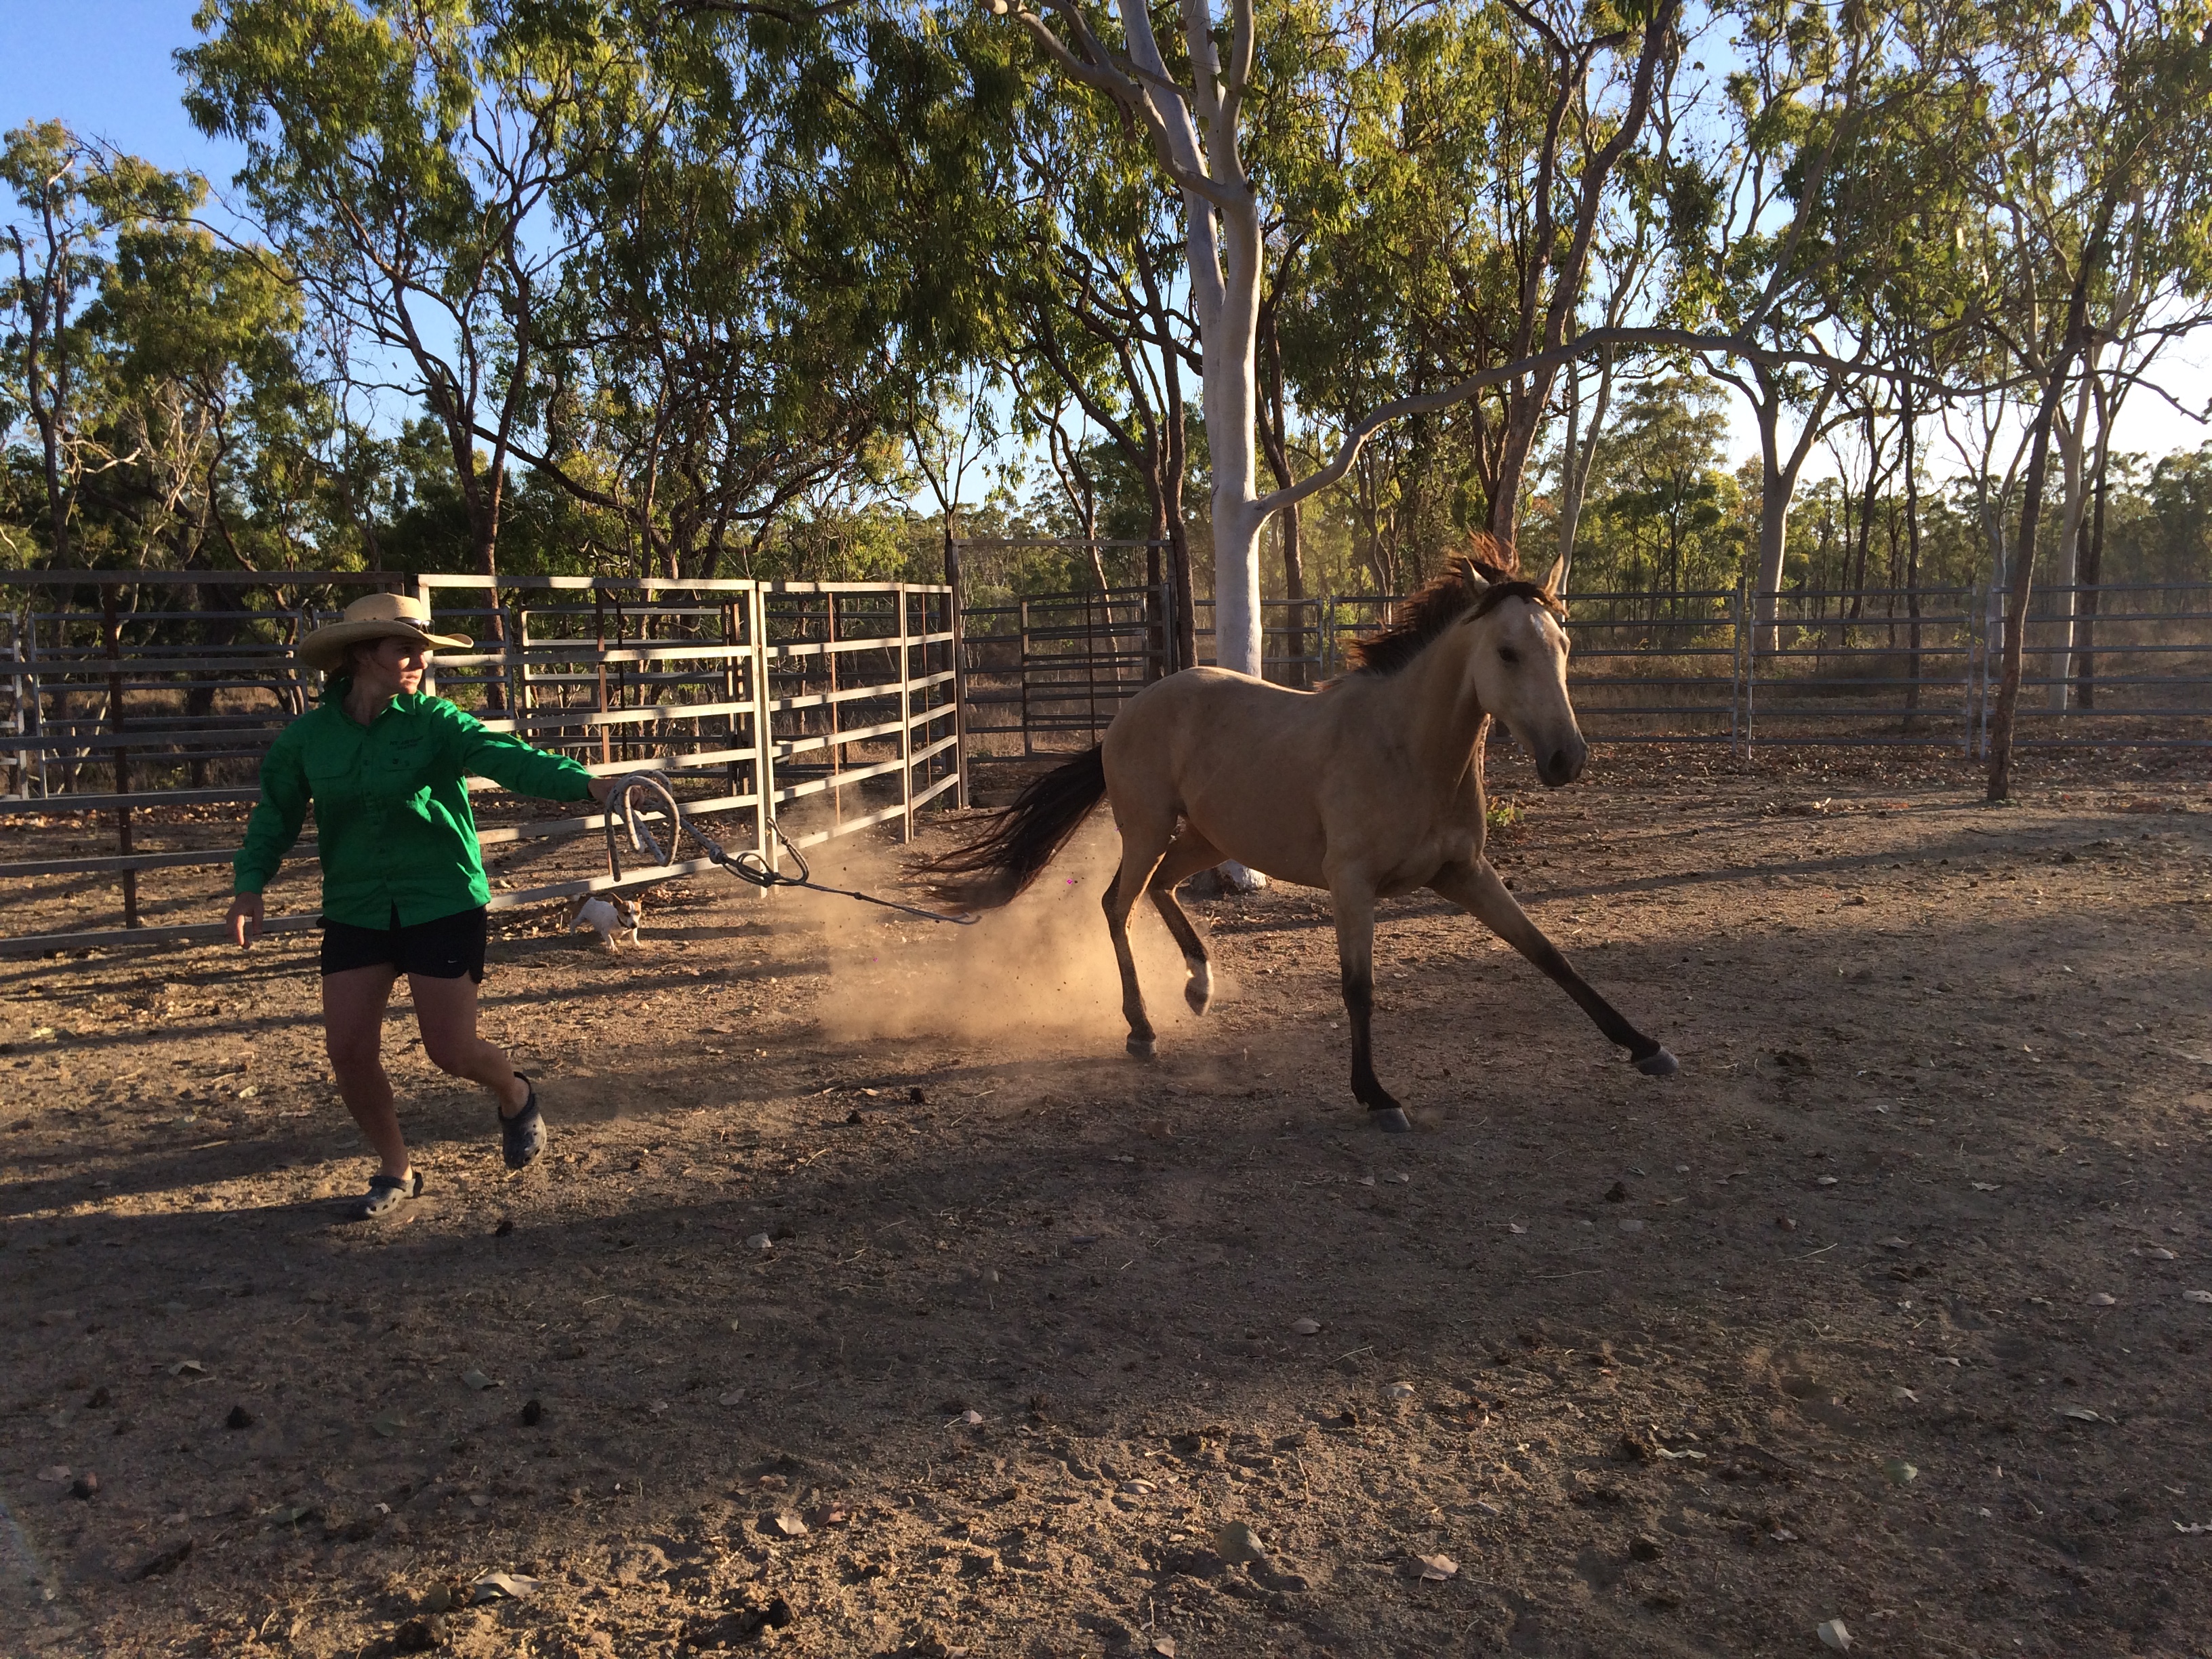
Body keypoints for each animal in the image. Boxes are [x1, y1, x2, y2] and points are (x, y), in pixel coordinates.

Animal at [929, 544, 1677, 1131]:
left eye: (1564, 646)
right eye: (1507, 651)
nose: (1567, 759)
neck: (1408, 749)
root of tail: (1128, 712)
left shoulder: (1465, 872)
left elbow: (1549, 954)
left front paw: (1645, 1047)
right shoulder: (1352, 883)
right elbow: (1358, 987)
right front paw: (1376, 1096)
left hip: (1211, 837)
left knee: (1162, 890)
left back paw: (1199, 986)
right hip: (1147, 828)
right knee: (1119, 903)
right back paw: (1141, 1029)